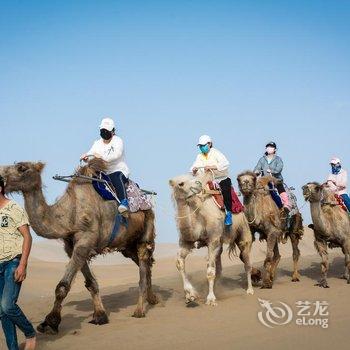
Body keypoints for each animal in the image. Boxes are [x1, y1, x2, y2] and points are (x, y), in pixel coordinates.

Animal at [0, 159, 159, 334]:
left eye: (21, 168)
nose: (0, 176)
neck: (69, 216)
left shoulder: (85, 240)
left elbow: (62, 287)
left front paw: (50, 322)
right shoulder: (72, 247)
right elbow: (91, 283)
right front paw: (100, 316)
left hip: (147, 223)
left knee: (144, 261)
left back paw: (139, 311)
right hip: (127, 245)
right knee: (146, 263)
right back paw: (152, 299)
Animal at [168, 172, 253, 306]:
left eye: (193, 178)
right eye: (181, 183)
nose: (198, 184)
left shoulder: (213, 241)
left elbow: (210, 272)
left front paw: (211, 299)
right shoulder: (186, 243)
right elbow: (179, 263)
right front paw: (190, 295)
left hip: (243, 230)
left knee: (247, 262)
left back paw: (250, 290)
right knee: (219, 267)